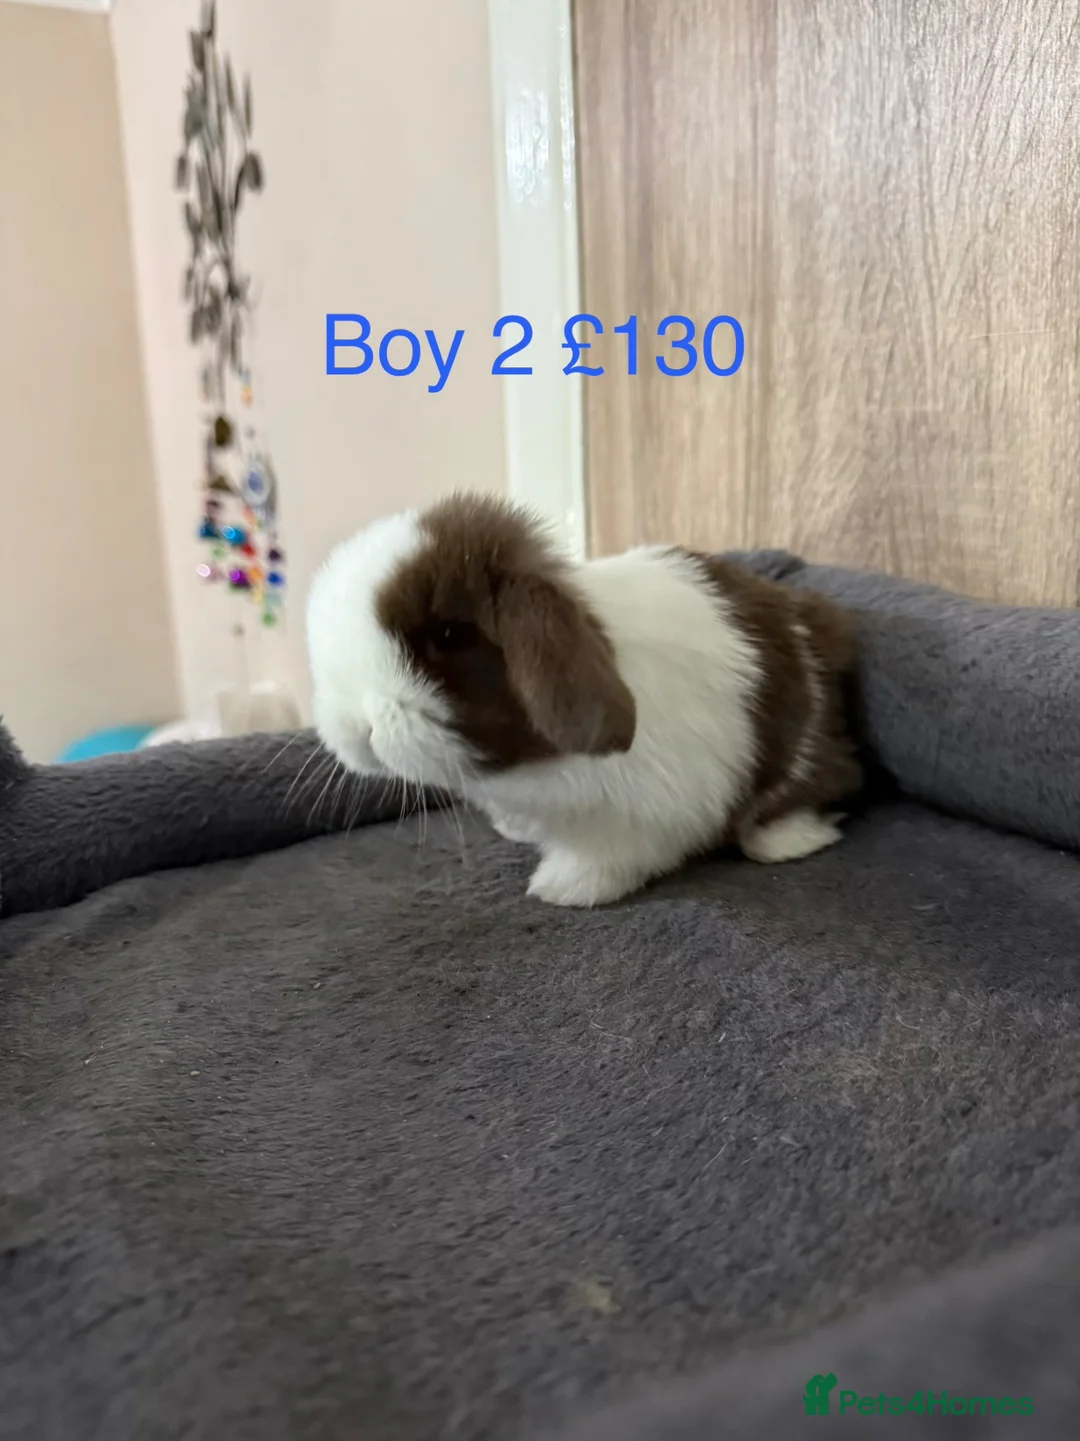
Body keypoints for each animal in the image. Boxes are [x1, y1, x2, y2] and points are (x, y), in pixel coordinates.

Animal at [306, 491, 864, 907]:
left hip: (800, 758)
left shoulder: (644, 813)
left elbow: (612, 856)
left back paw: (789, 840)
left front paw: (562, 889)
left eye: (447, 636)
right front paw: (517, 833)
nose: (355, 729)